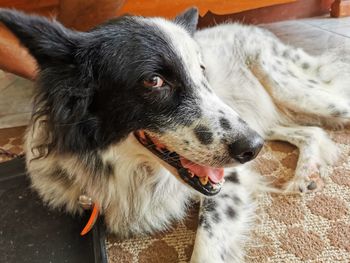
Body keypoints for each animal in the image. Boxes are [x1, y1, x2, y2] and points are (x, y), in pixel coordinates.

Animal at [1, 7, 348, 262]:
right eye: (154, 81)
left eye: (202, 70)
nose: (253, 148)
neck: (131, 171)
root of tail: (256, 28)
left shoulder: (229, 181)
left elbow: (206, 248)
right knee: (310, 130)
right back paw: (306, 174)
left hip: (290, 92)